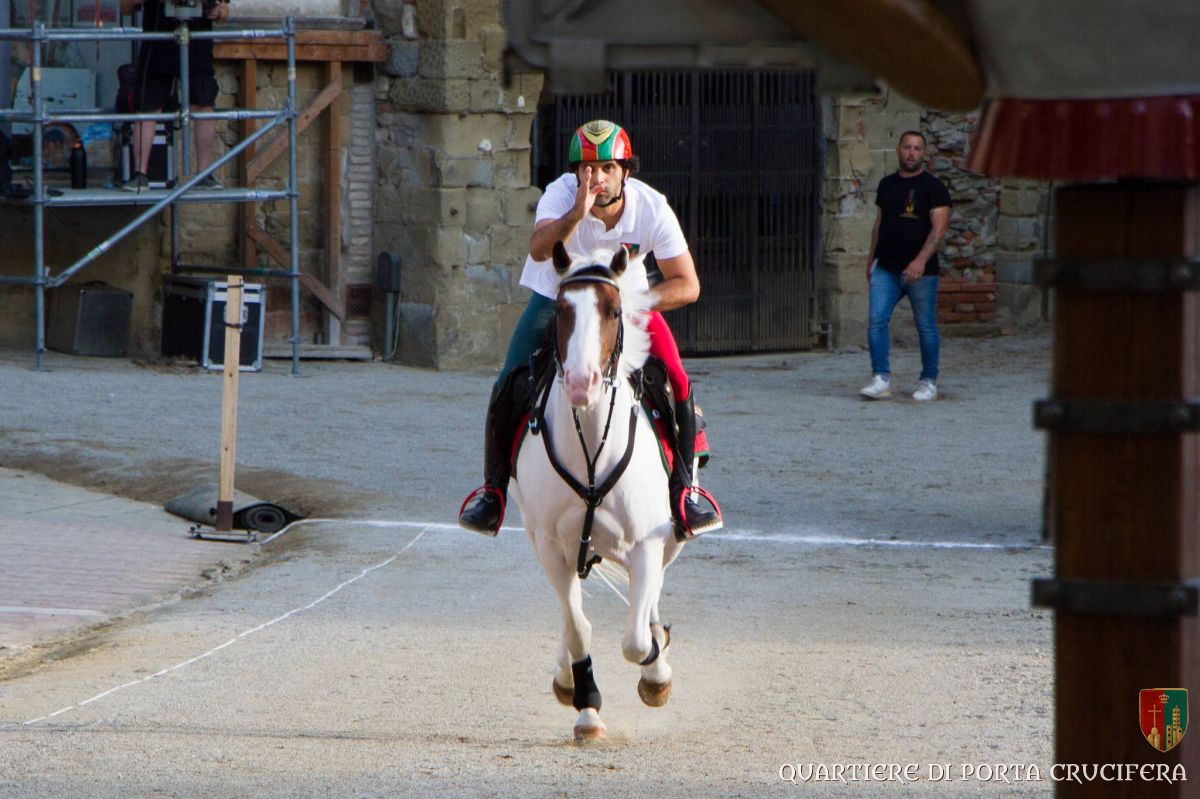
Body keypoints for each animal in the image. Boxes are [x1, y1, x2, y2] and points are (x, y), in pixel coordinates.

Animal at [508, 241, 683, 742]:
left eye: (613, 310)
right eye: (561, 310)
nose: (580, 382)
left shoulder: (647, 543)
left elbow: (636, 640)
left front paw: (655, 673)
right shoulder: (550, 544)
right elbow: (578, 628)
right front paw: (585, 706)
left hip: (668, 540)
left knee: (649, 601)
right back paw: (566, 675)